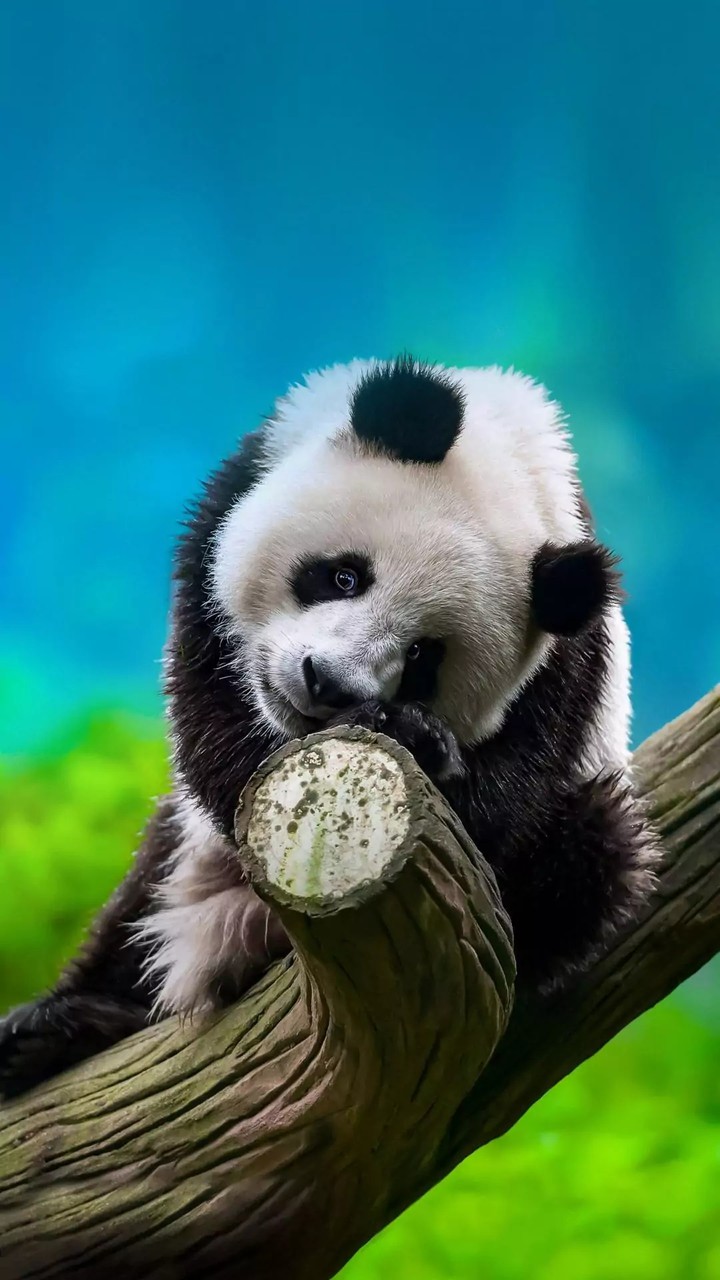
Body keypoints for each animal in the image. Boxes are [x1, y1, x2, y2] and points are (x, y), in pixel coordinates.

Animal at [0, 356, 658, 1099]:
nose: (325, 683)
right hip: (186, 864)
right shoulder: (230, 506)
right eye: (344, 576)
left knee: (594, 852)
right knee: (139, 904)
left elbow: (499, 806)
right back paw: (56, 1029)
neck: (508, 450)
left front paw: (414, 739)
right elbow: (213, 725)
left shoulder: (565, 665)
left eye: (423, 657)